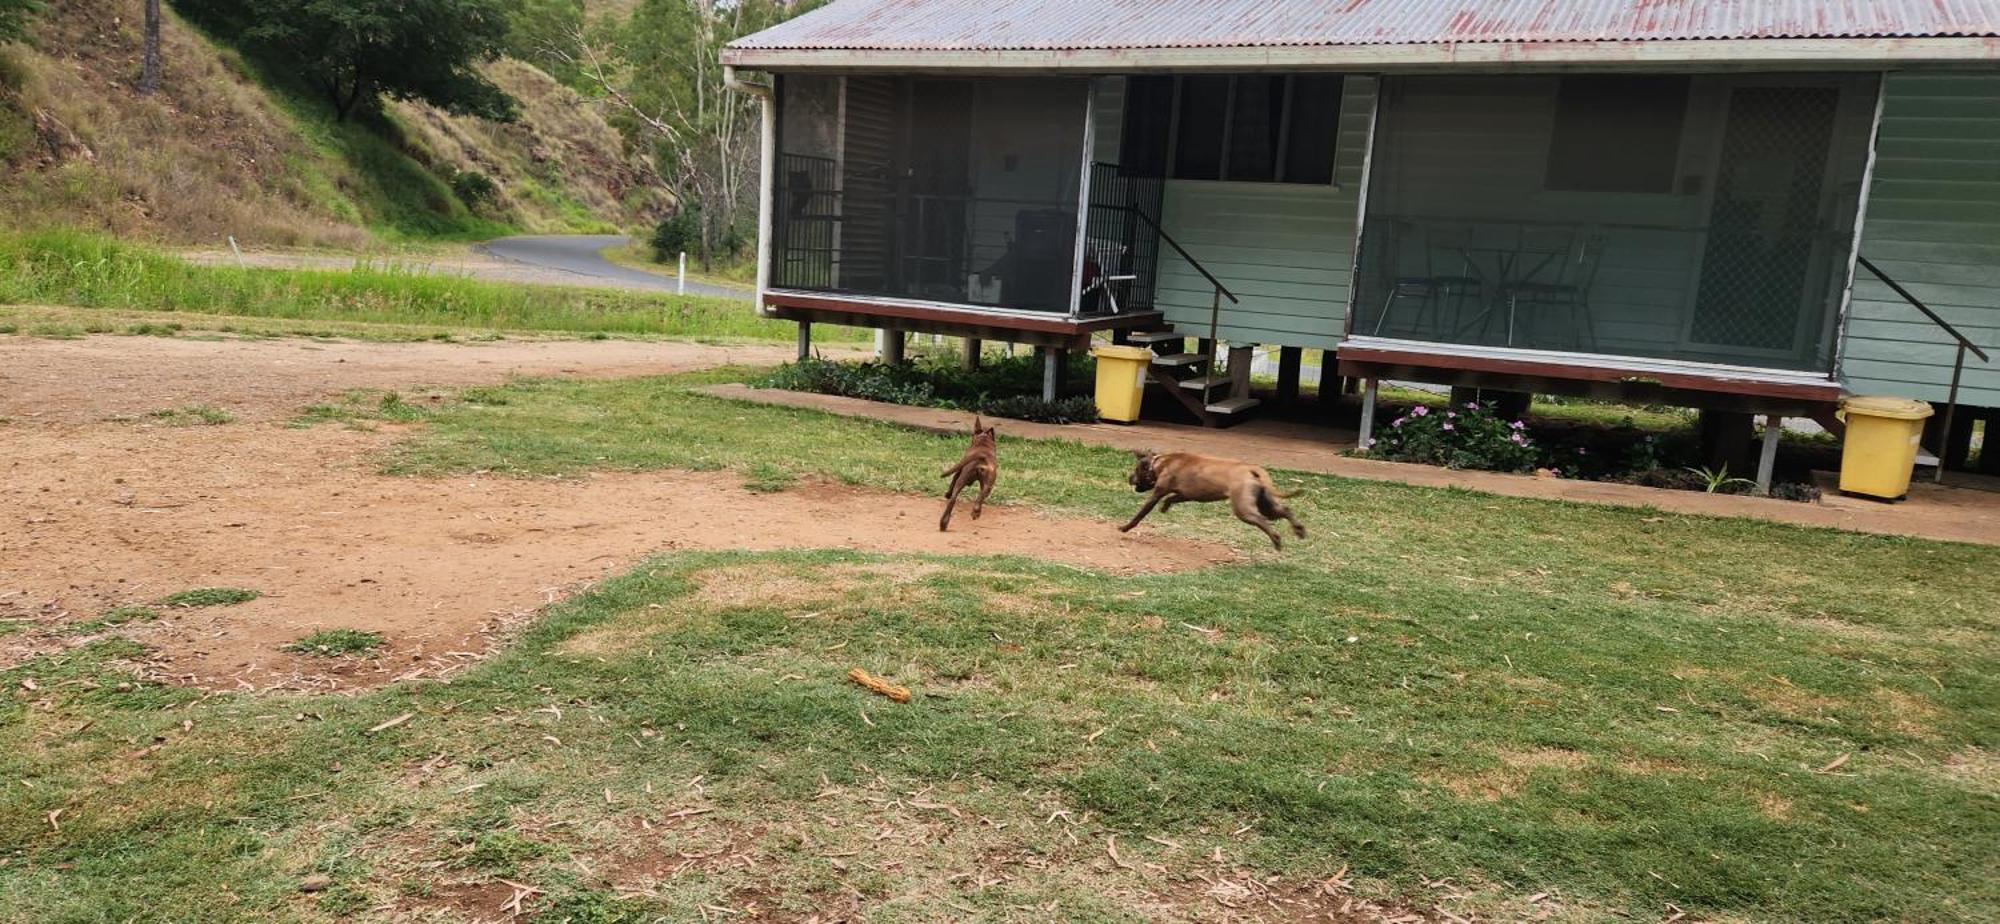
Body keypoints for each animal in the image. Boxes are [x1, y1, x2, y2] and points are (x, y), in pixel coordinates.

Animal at [1120, 448, 1304, 548]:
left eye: (1136, 471)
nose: (1129, 478)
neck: (1159, 463)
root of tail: (1250, 469)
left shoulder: (1157, 494)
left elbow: (1140, 514)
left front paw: (1125, 527)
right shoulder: (1186, 494)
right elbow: (1172, 499)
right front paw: (1164, 507)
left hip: (1243, 509)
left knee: (1262, 521)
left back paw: (1277, 540)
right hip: (1265, 504)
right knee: (1285, 511)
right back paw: (1299, 529)